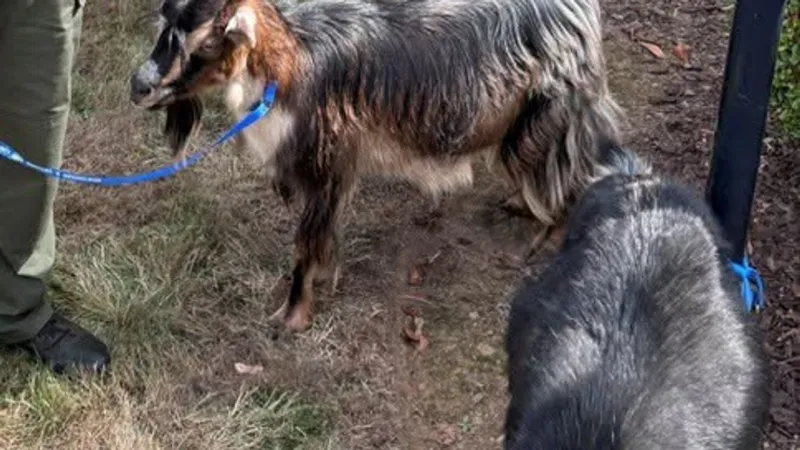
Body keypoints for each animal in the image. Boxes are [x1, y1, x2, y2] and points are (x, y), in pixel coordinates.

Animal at [129, 0, 623, 332]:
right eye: (161, 28)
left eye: (205, 41)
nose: (139, 87)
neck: (288, 66)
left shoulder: (325, 165)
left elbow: (306, 245)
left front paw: (292, 316)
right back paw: (520, 204)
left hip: (548, 115)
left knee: (573, 173)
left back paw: (546, 238)